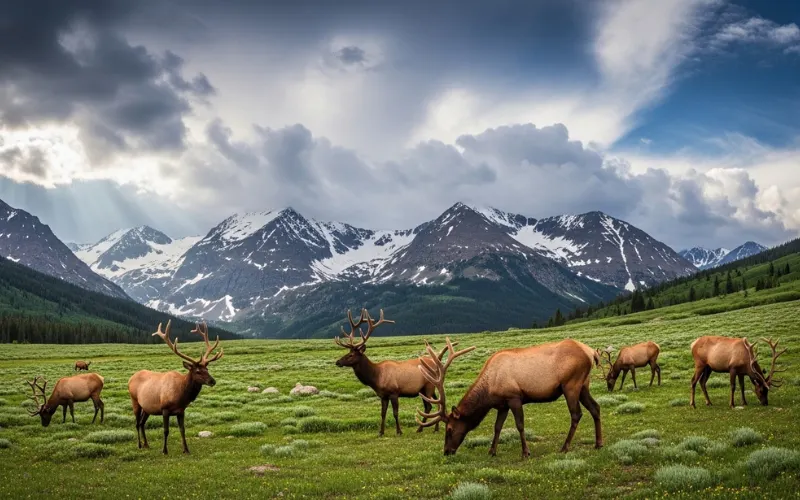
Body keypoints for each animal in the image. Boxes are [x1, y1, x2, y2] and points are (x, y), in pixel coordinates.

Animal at [127, 320, 223, 454]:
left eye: (207, 369)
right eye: (198, 371)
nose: (212, 381)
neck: (181, 395)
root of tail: (130, 378)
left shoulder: (181, 411)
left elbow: (182, 430)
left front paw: (186, 449)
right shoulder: (164, 409)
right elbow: (166, 430)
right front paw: (164, 450)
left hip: (147, 407)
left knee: (142, 423)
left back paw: (146, 444)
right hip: (134, 400)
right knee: (136, 423)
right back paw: (140, 445)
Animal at [333, 308, 457, 436]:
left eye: (351, 355)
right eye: (348, 353)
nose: (338, 362)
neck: (376, 377)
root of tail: (437, 364)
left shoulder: (394, 392)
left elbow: (395, 413)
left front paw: (399, 431)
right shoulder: (383, 396)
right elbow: (382, 413)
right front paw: (381, 432)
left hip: (428, 386)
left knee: (431, 405)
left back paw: (421, 428)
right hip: (426, 389)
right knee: (434, 404)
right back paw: (433, 428)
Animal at [416, 337, 603, 457]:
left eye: (449, 429)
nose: (447, 452)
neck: (489, 391)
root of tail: (592, 352)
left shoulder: (514, 397)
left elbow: (520, 425)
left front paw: (526, 452)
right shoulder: (502, 404)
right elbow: (497, 427)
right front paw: (492, 451)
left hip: (571, 384)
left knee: (576, 414)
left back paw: (564, 447)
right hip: (584, 385)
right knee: (595, 407)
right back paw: (598, 443)